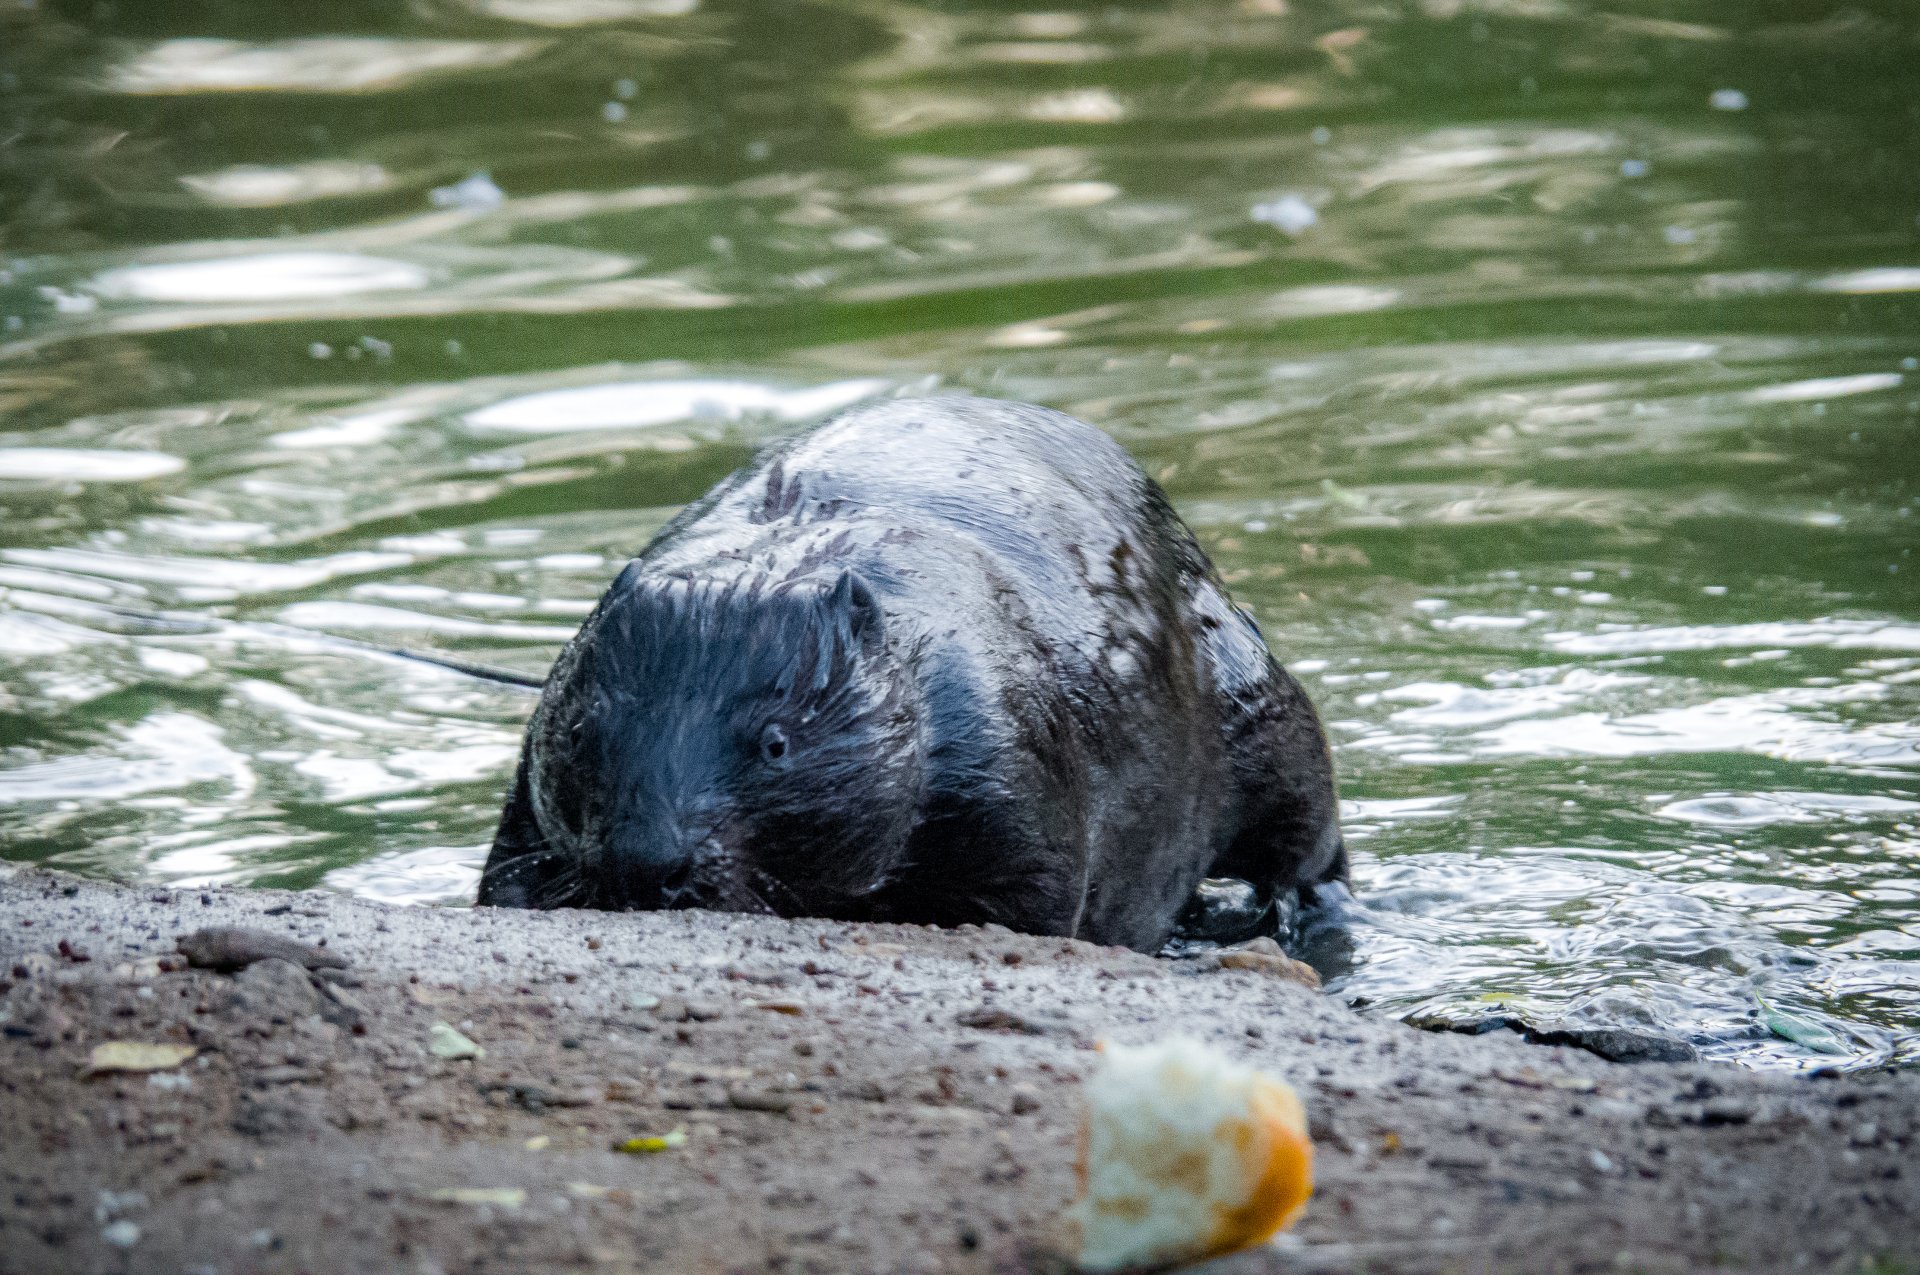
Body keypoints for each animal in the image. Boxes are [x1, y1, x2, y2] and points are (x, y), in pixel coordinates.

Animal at [476, 393, 1351, 952]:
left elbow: (1027, 904)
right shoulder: (529, 789)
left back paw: (1281, 915)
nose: (645, 864)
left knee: (1307, 831)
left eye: (775, 743)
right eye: (581, 730)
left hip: (1246, 684)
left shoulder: (999, 754)